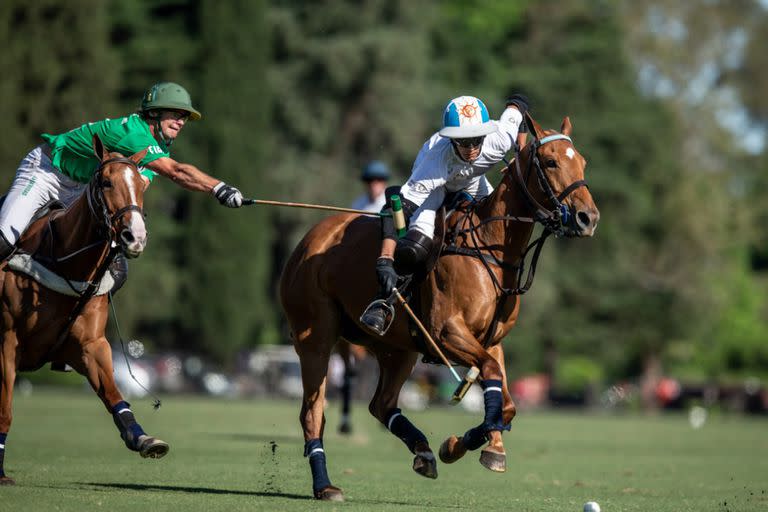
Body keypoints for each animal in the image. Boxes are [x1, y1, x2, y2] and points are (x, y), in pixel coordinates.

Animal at [0, 135, 169, 484]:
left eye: (141, 186)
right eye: (106, 182)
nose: (135, 237)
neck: (67, 261)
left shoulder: (89, 345)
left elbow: (115, 396)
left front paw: (144, 440)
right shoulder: (7, 340)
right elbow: (5, 410)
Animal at [280, 112, 600, 500]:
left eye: (582, 161)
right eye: (551, 162)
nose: (588, 218)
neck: (489, 248)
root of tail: (307, 241)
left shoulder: (491, 341)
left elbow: (505, 400)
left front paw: (480, 447)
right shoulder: (447, 333)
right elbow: (492, 380)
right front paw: (464, 445)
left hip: (396, 349)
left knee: (381, 403)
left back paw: (423, 452)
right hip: (315, 337)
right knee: (312, 412)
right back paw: (325, 485)